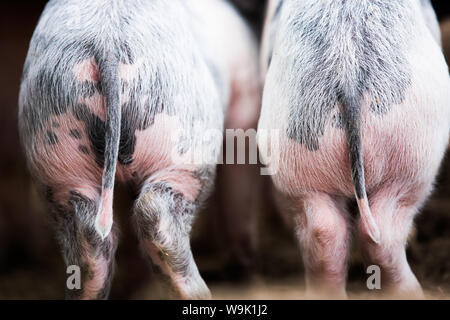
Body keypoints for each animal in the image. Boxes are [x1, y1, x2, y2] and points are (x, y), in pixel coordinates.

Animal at [18, 0, 260, 300]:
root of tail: (106, 45)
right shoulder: (247, 99)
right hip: (183, 145)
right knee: (155, 211)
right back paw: (200, 293)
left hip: (54, 150)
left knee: (88, 234)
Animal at [258, 0, 450, 298]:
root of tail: (346, 70)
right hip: (413, 155)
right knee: (383, 233)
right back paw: (414, 290)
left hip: (293, 146)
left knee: (324, 231)